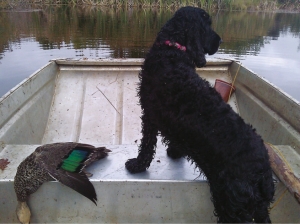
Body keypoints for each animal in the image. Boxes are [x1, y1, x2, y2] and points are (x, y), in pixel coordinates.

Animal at [125, 6, 276, 223]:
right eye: (207, 25)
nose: (221, 41)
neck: (172, 53)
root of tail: (264, 172)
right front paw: (175, 151)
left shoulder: (150, 114)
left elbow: (146, 145)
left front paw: (137, 165)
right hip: (257, 208)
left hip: (232, 205)